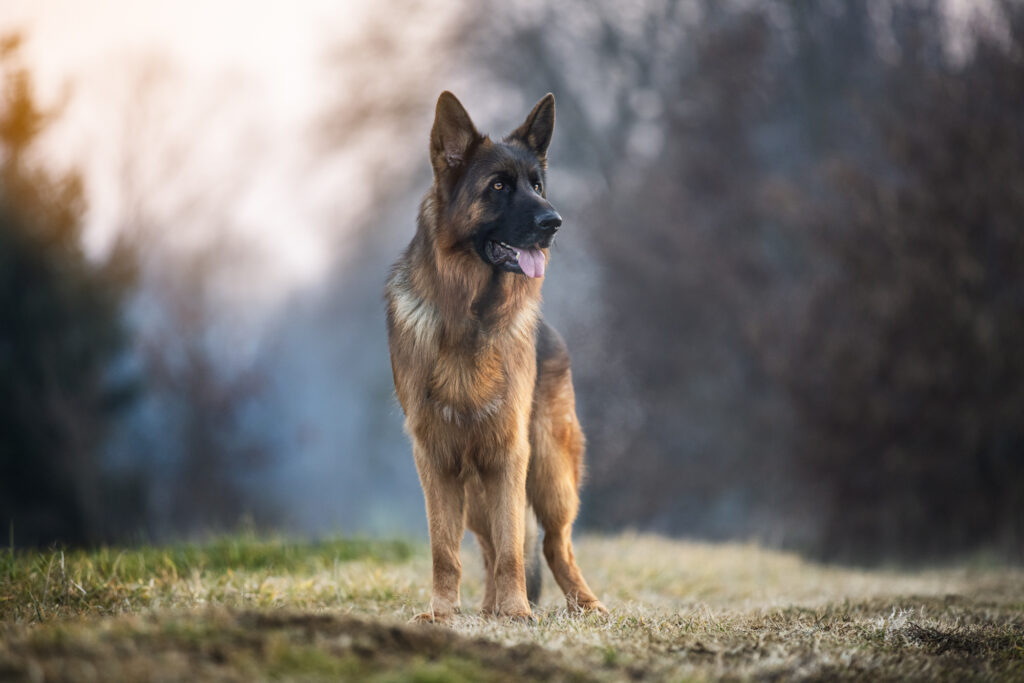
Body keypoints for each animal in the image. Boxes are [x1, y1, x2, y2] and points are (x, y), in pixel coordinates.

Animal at [387, 93, 602, 622]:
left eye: (537, 185)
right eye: (499, 186)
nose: (553, 223)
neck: (468, 316)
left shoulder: (508, 455)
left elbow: (512, 549)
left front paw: (518, 611)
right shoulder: (437, 460)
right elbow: (445, 550)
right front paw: (443, 612)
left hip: (549, 472)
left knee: (554, 544)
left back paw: (583, 604)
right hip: (477, 488)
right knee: (486, 545)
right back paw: (487, 609)